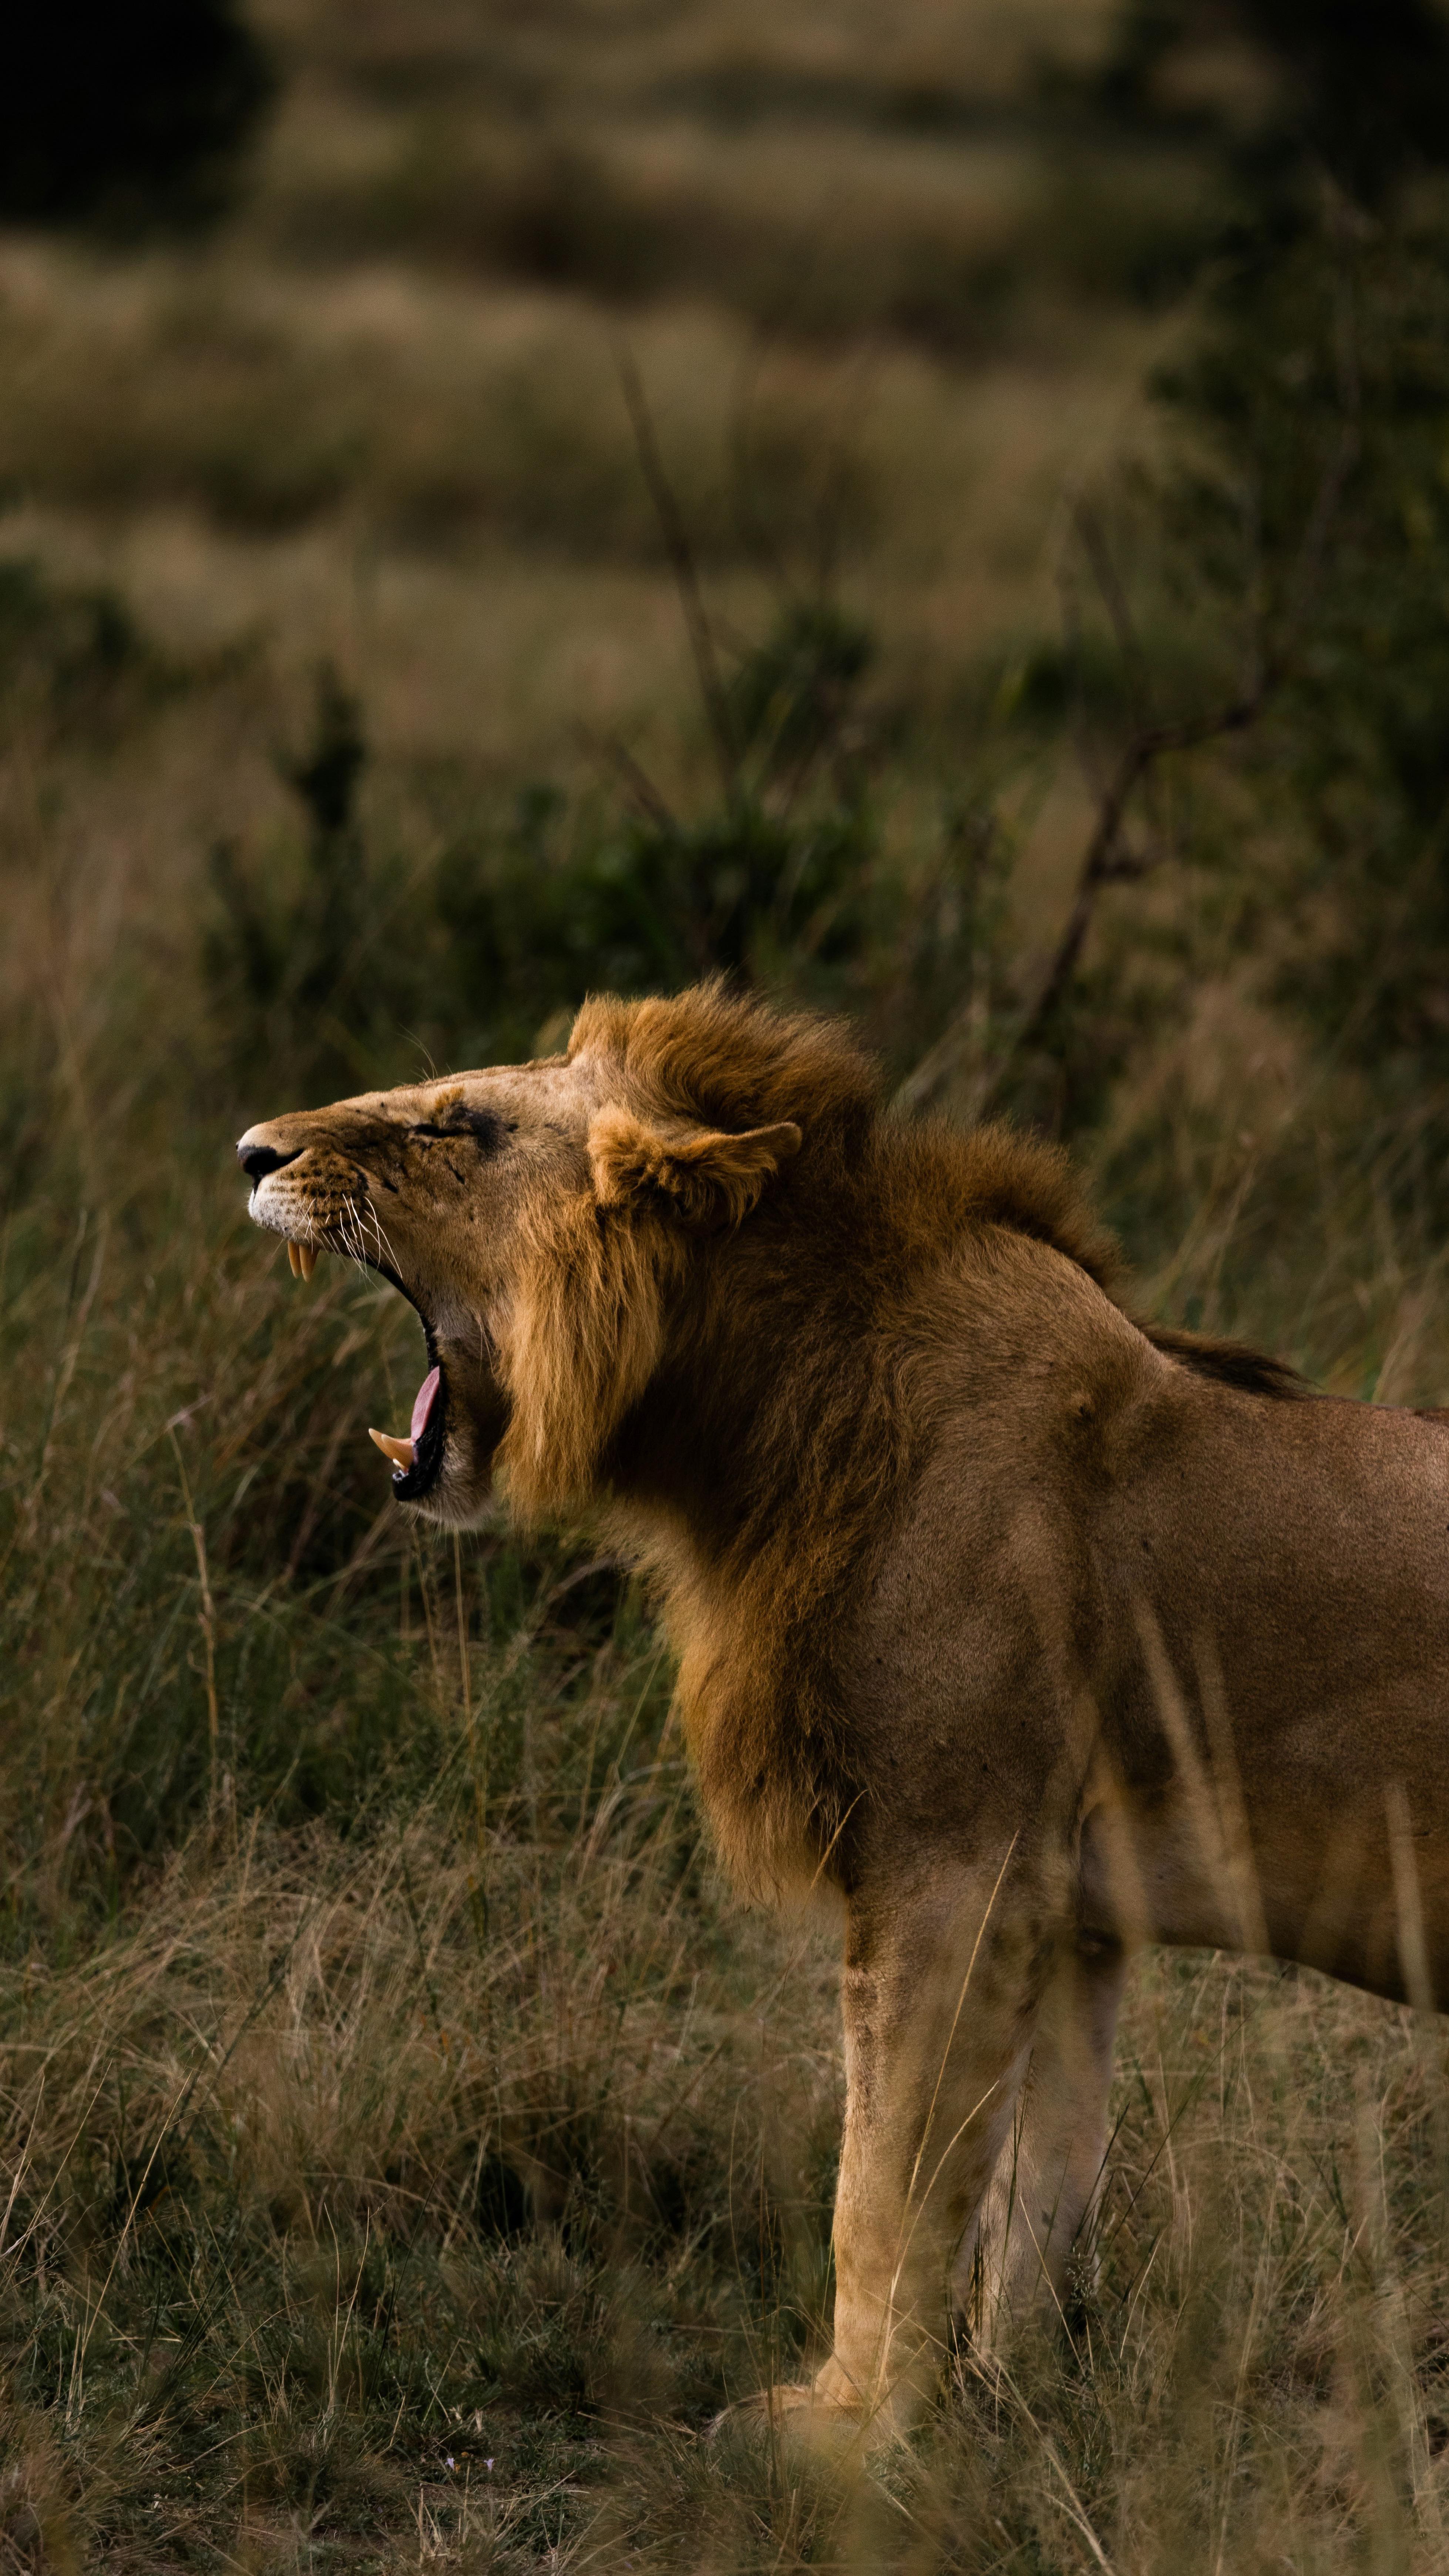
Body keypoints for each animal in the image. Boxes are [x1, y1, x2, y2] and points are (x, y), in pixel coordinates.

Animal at [235, 981, 1449, 2441]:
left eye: (459, 1124)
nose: (248, 1150)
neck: (762, 1411)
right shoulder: (1074, 1910)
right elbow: (1039, 2196)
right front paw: (1008, 2408)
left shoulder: (952, 1868)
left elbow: (882, 2191)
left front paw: (847, 2431)